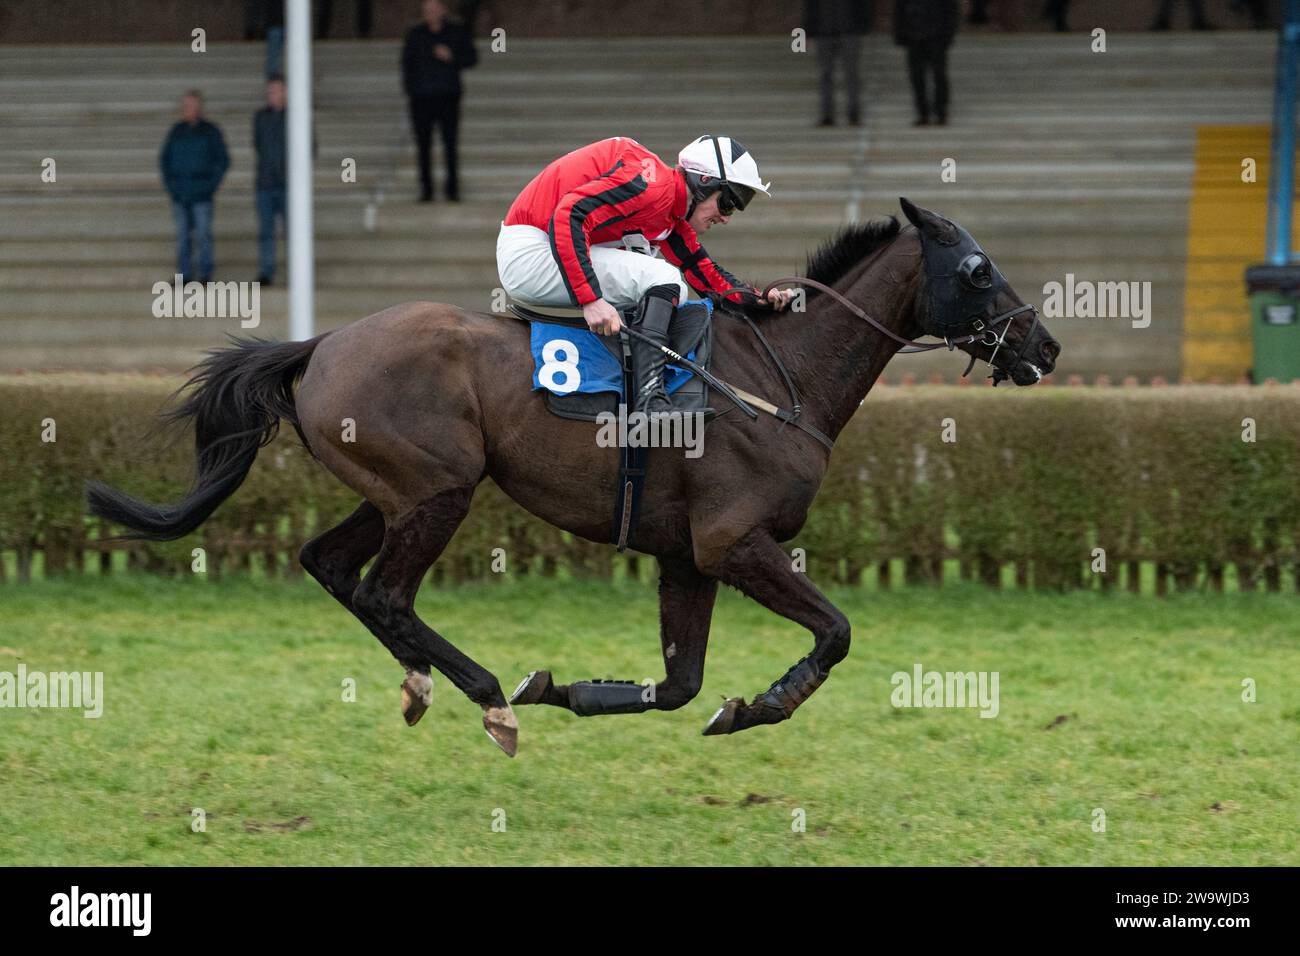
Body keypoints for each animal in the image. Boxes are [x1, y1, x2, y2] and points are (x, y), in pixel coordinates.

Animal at [86, 200, 1055, 754]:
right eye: (978, 270)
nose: (1043, 347)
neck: (778, 378)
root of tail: (320, 343)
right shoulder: (733, 542)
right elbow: (836, 632)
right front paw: (766, 702)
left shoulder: (686, 555)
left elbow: (681, 685)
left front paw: (576, 691)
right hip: (440, 489)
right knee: (384, 593)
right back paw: (486, 698)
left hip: (394, 491)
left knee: (330, 566)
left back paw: (423, 683)